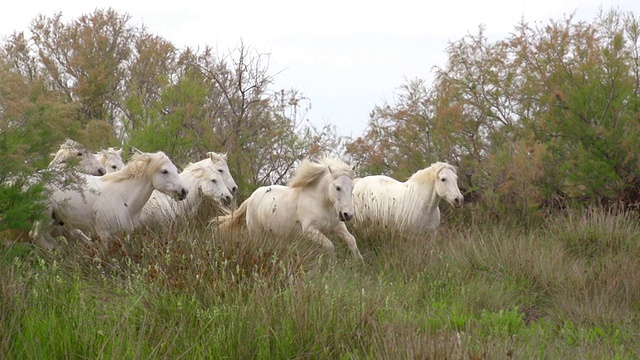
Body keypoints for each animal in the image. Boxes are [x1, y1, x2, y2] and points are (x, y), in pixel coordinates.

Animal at [30, 150, 188, 249]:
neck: (124, 196)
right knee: (36, 236)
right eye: (164, 171)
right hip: (44, 215)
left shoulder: (126, 233)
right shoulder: (105, 235)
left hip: (55, 220)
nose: (184, 191)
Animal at [219, 156, 360, 260]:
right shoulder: (310, 230)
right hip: (256, 233)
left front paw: (359, 262)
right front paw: (332, 265)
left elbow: (352, 240)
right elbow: (330, 245)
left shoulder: (338, 227)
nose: (347, 215)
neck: (320, 203)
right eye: (338, 187)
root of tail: (251, 198)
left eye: (352, 187)